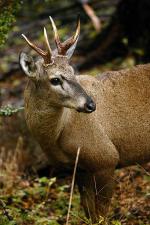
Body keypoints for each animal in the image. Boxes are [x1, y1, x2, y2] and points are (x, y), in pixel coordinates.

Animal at [19, 17, 150, 223]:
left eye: (73, 71)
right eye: (55, 79)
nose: (91, 104)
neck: (57, 135)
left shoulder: (106, 158)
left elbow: (101, 214)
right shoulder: (79, 168)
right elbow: (89, 211)